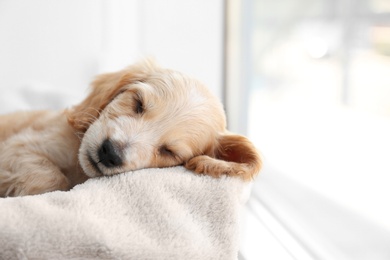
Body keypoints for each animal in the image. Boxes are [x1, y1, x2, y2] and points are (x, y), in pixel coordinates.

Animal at [0, 59, 262, 197]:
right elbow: (50, 178)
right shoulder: (21, 147)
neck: (78, 169)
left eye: (169, 152)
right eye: (138, 103)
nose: (110, 153)